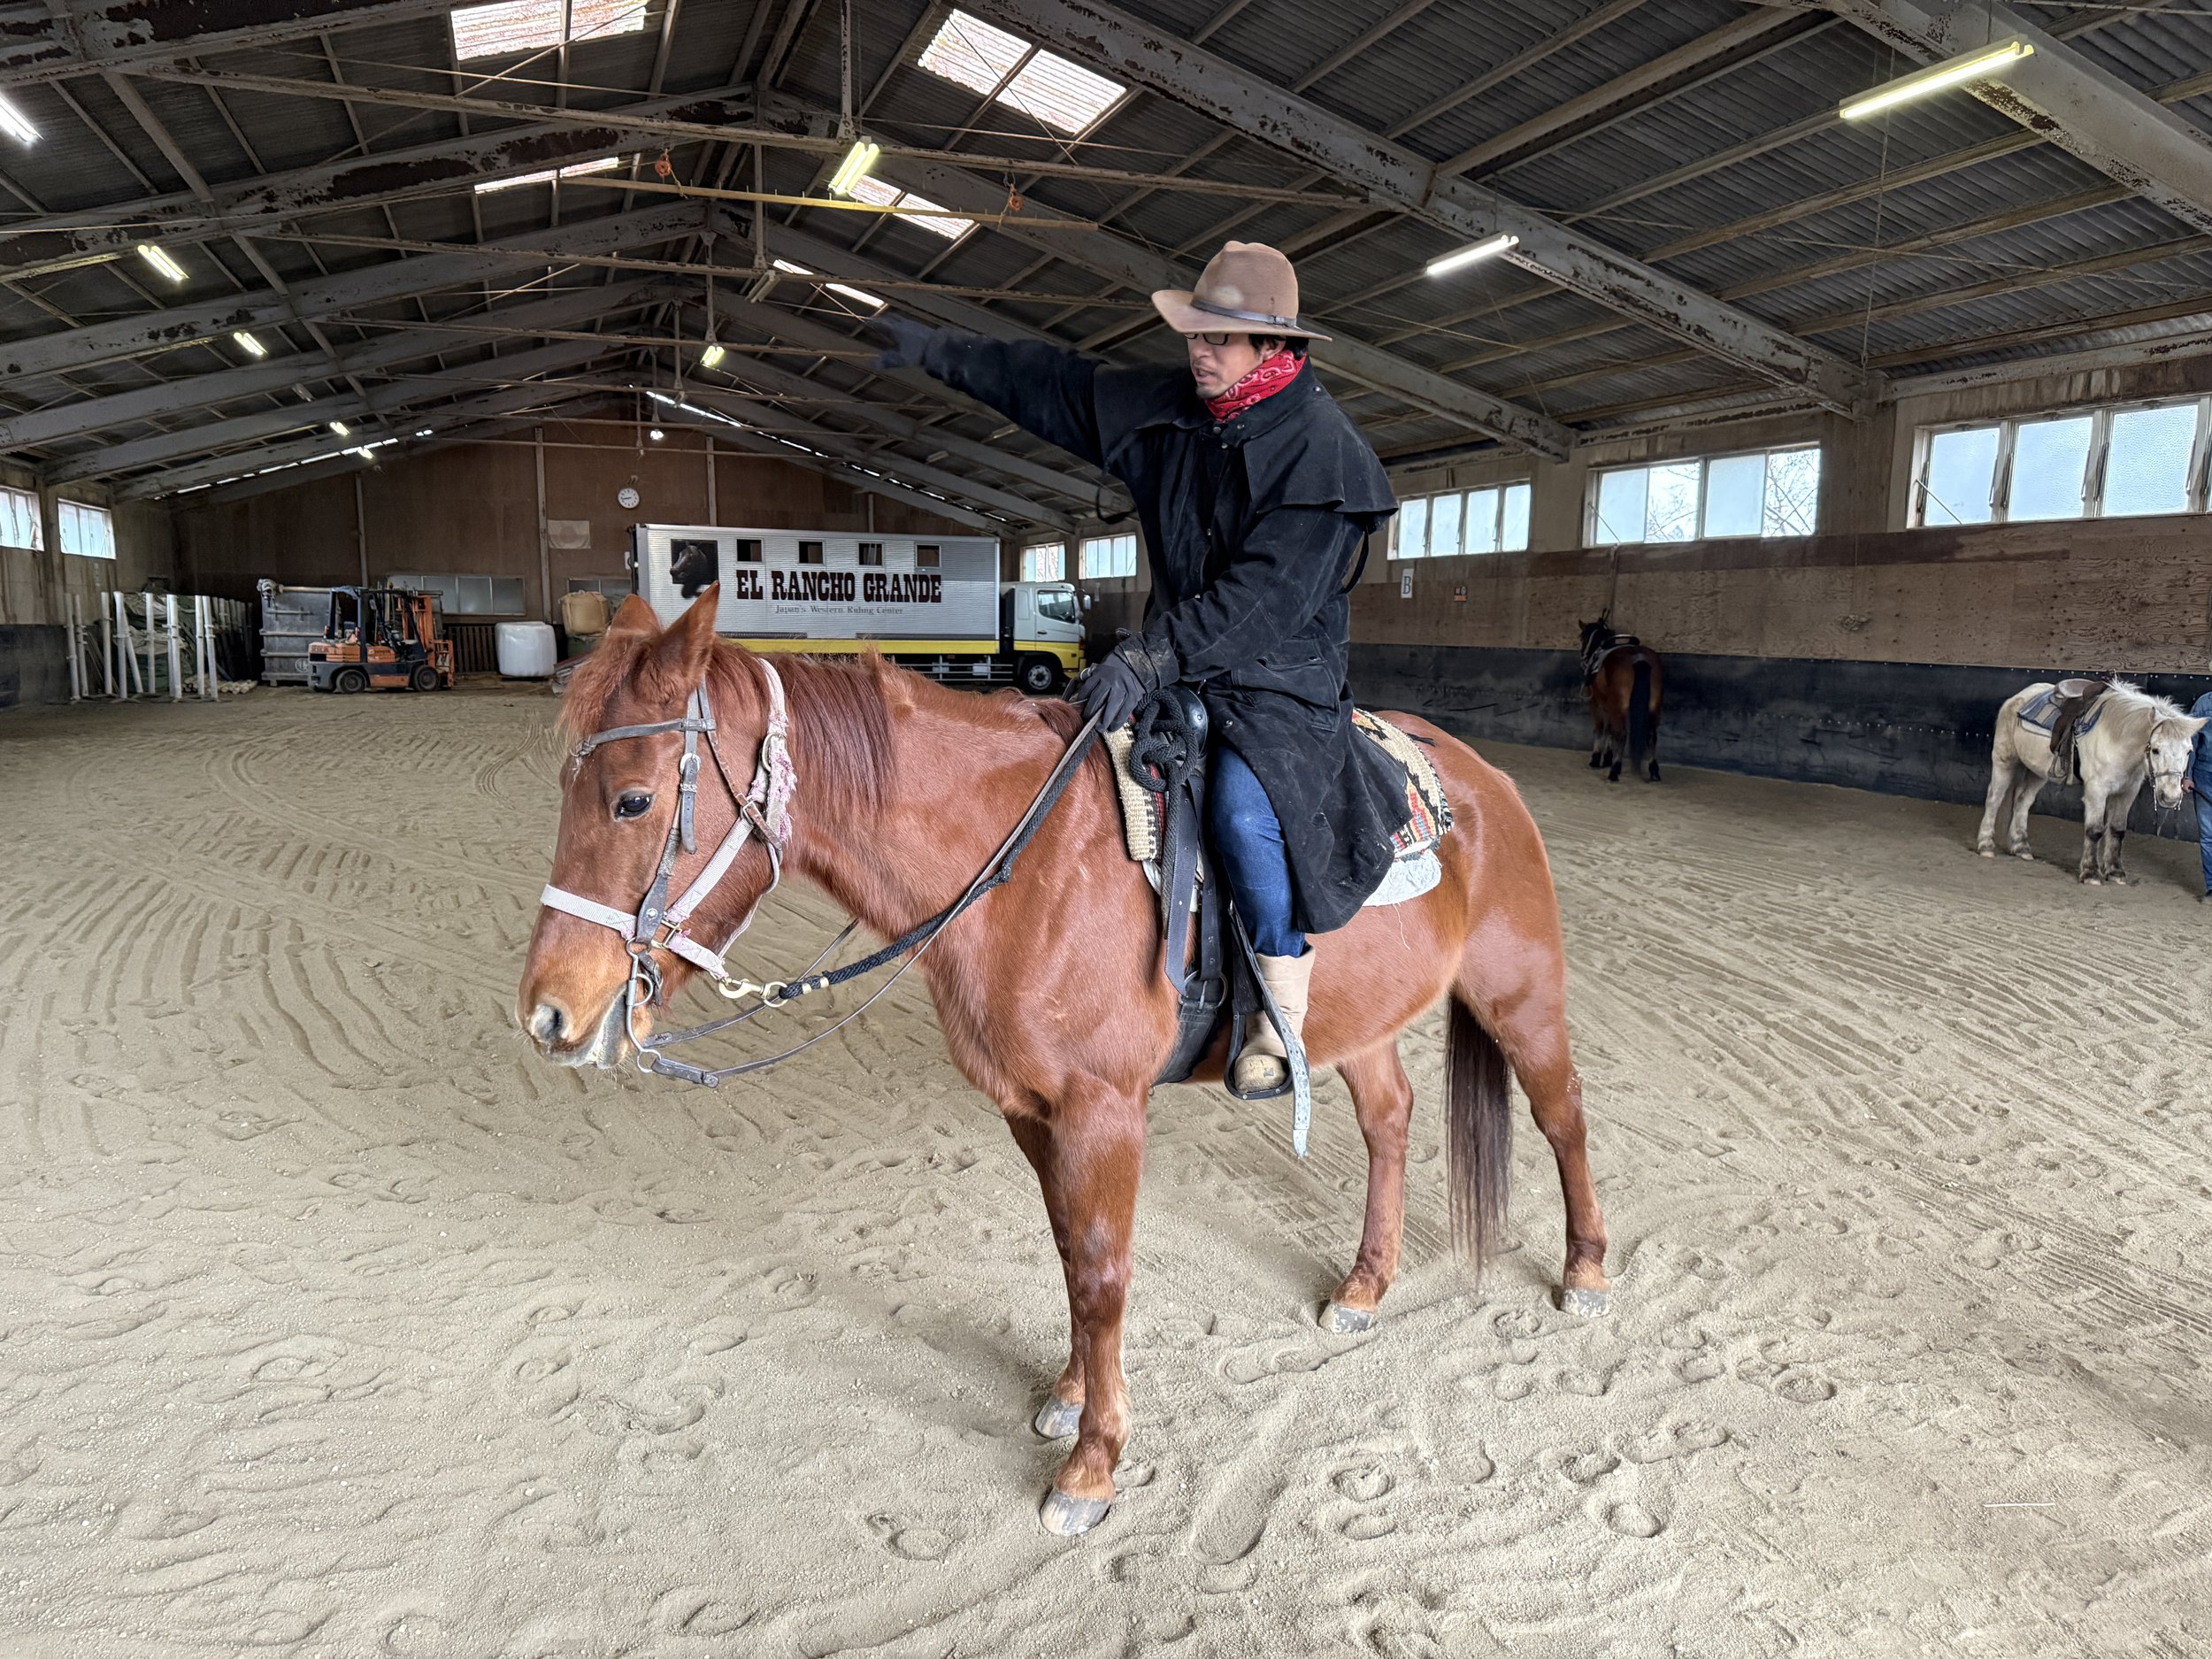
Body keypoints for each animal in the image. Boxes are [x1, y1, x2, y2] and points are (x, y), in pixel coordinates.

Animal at [515, 591, 1609, 1536]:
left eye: (632, 800)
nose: (547, 1013)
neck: (1028, 869)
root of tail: (1485, 781)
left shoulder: (1101, 1110)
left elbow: (1103, 1270)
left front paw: (1093, 1462)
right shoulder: (1030, 1109)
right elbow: (1065, 1254)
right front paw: (1070, 1395)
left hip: (1519, 993)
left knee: (1561, 1115)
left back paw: (1585, 1271)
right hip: (1365, 1023)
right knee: (1389, 1119)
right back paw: (1364, 1287)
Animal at [1579, 613, 1664, 784]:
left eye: (1582, 637)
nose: (1583, 655)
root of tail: (1639, 657)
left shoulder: (1597, 704)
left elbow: (1601, 728)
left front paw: (1596, 759)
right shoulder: (1609, 706)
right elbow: (1609, 730)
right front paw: (1607, 758)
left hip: (1618, 707)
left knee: (1621, 734)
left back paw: (1614, 771)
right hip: (1654, 707)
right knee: (1651, 735)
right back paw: (1653, 771)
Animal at [1976, 677, 2206, 883]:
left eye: (2189, 751)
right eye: (2156, 750)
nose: (2170, 797)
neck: (2117, 739)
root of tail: (2017, 698)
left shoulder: (2126, 793)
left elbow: (2117, 831)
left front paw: (2115, 872)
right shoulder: (2097, 790)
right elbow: (2094, 831)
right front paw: (2091, 873)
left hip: (2038, 772)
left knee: (2022, 802)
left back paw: (2021, 847)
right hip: (2005, 760)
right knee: (1994, 799)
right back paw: (1986, 846)